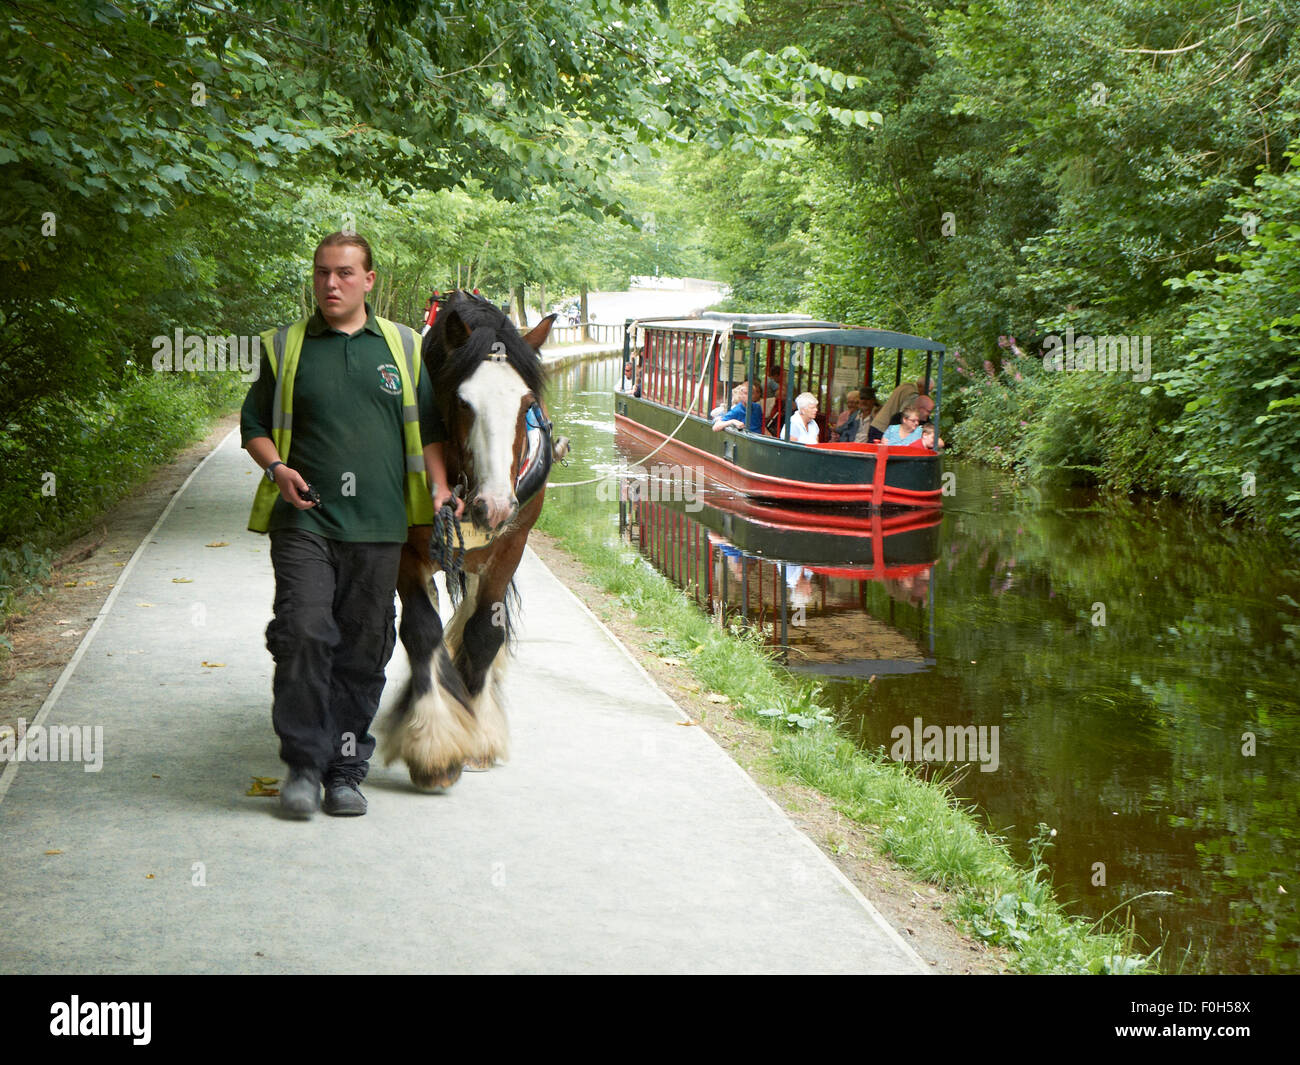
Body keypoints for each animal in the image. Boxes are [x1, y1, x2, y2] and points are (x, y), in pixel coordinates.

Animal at [380, 290, 556, 791]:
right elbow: (421, 628)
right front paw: (434, 746)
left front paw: (477, 736)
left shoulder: (509, 546)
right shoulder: (408, 550)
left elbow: (484, 632)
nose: (492, 505)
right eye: (463, 402)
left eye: (526, 402)